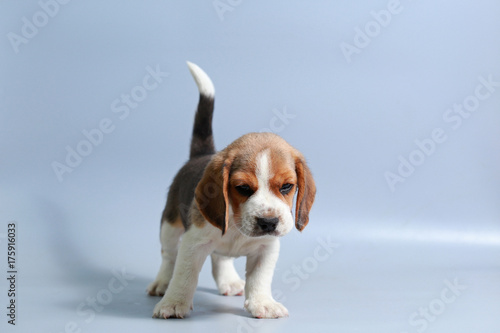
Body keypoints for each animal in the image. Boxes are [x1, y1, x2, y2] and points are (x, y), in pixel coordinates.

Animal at [146, 61, 314, 318]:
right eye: (242, 188)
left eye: (287, 187)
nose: (268, 222)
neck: (236, 225)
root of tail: (201, 154)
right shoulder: (193, 242)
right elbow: (184, 275)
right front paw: (174, 303)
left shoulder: (266, 248)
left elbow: (260, 278)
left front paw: (263, 303)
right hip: (169, 224)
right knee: (169, 256)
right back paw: (162, 283)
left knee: (220, 259)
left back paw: (229, 280)